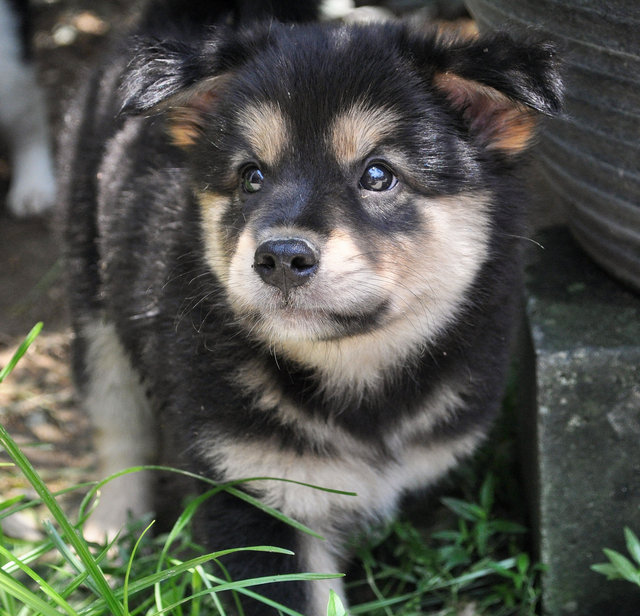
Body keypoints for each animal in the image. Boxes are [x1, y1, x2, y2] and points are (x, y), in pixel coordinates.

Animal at [58, 2, 560, 612]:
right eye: (252, 175)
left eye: (377, 174)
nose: (278, 257)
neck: (358, 380)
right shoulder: (255, 495)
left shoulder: (432, 485)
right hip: (94, 301)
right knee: (118, 429)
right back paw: (109, 538)